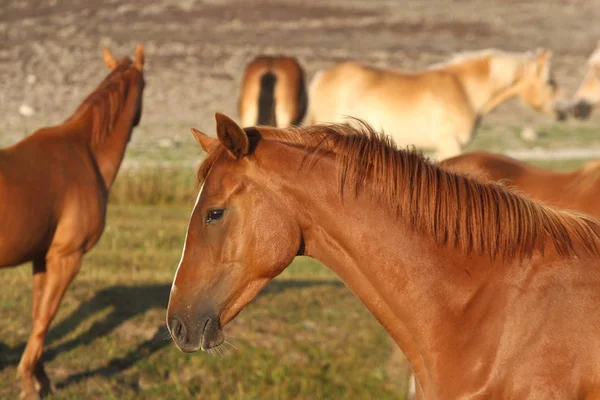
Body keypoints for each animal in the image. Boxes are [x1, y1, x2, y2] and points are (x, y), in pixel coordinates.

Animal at [0, 45, 145, 398]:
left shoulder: (42, 258)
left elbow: (39, 316)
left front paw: (42, 378)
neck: (85, 152)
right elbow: (45, 318)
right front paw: (29, 384)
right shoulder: (67, 258)